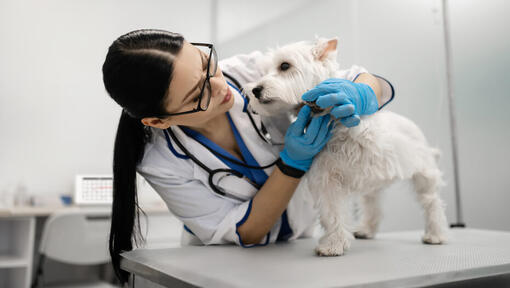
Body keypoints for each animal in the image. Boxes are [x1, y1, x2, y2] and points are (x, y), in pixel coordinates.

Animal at [245, 37, 448, 255]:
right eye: (264, 71)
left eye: (284, 65)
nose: (255, 90)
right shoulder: (326, 179)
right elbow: (332, 213)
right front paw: (333, 244)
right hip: (374, 188)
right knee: (372, 205)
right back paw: (366, 230)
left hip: (423, 174)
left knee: (431, 202)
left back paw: (435, 234)